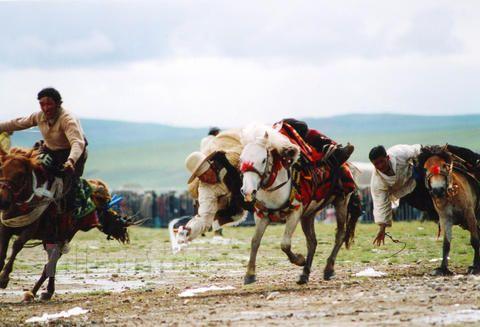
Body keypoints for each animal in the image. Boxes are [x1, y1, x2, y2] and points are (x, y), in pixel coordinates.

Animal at [0, 147, 133, 302]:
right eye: (2, 170)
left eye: (20, 174)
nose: (3, 201)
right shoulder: (5, 228)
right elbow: (3, 251)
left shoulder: (30, 229)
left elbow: (16, 246)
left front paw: (4, 278)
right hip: (51, 238)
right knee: (51, 262)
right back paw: (43, 291)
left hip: (63, 237)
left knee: (51, 263)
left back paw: (36, 292)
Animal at [240, 123, 360, 284]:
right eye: (241, 159)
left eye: (263, 160)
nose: (247, 191)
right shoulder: (262, 215)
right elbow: (255, 242)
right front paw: (250, 274)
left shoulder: (295, 212)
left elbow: (285, 244)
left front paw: (299, 260)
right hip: (309, 214)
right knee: (312, 241)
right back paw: (305, 274)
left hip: (341, 201)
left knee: (340, 234)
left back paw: (328, 269)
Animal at [420, 146, 480, 276]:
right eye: (426, 168)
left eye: (444, 165)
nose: (437, 190)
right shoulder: (445, 218)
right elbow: (446, 244)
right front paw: (443, 268)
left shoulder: (470, 215)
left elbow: (474, 240)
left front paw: (475, 267)